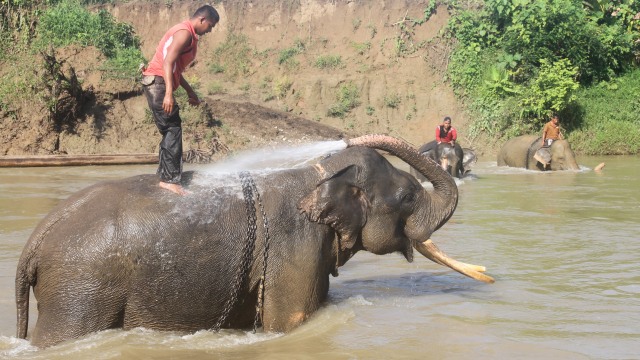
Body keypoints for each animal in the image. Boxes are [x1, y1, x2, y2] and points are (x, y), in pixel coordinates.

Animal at [16, 135, 496, 348]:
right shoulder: (295, 248)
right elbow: (291, 322)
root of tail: (34, 243)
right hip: (81, 292)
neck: (316, 173)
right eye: (409, 196)